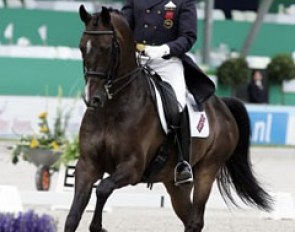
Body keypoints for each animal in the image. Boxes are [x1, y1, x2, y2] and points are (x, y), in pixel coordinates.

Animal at [65, 5, 272, 232]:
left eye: (106, 49)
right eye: (82, 48)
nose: (92, 99)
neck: (112, 109)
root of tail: (222, 105)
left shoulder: (132, 168)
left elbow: (102, 188)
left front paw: (97, 226)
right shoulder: (87, 165)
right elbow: (73, 216)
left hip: (207, 170)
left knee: (195, 220)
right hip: (175, 184)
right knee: (188, 218)